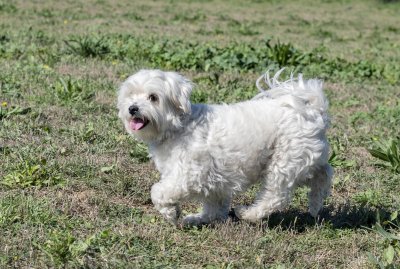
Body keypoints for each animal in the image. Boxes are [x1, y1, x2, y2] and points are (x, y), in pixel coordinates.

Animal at [117, 68, 332, 224]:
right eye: (131, 95)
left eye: (153, 97)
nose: (132, 108)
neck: (180, 125)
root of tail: (313, 110)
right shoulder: (214, 181)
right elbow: (213, 206)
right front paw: (198, 218)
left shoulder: (191, 175)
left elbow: (158, 191)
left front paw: (171, 212)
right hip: (305, 158)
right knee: (324, 174)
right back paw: (315, 205)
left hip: (284, 162)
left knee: (276, 197)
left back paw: (248, 214)